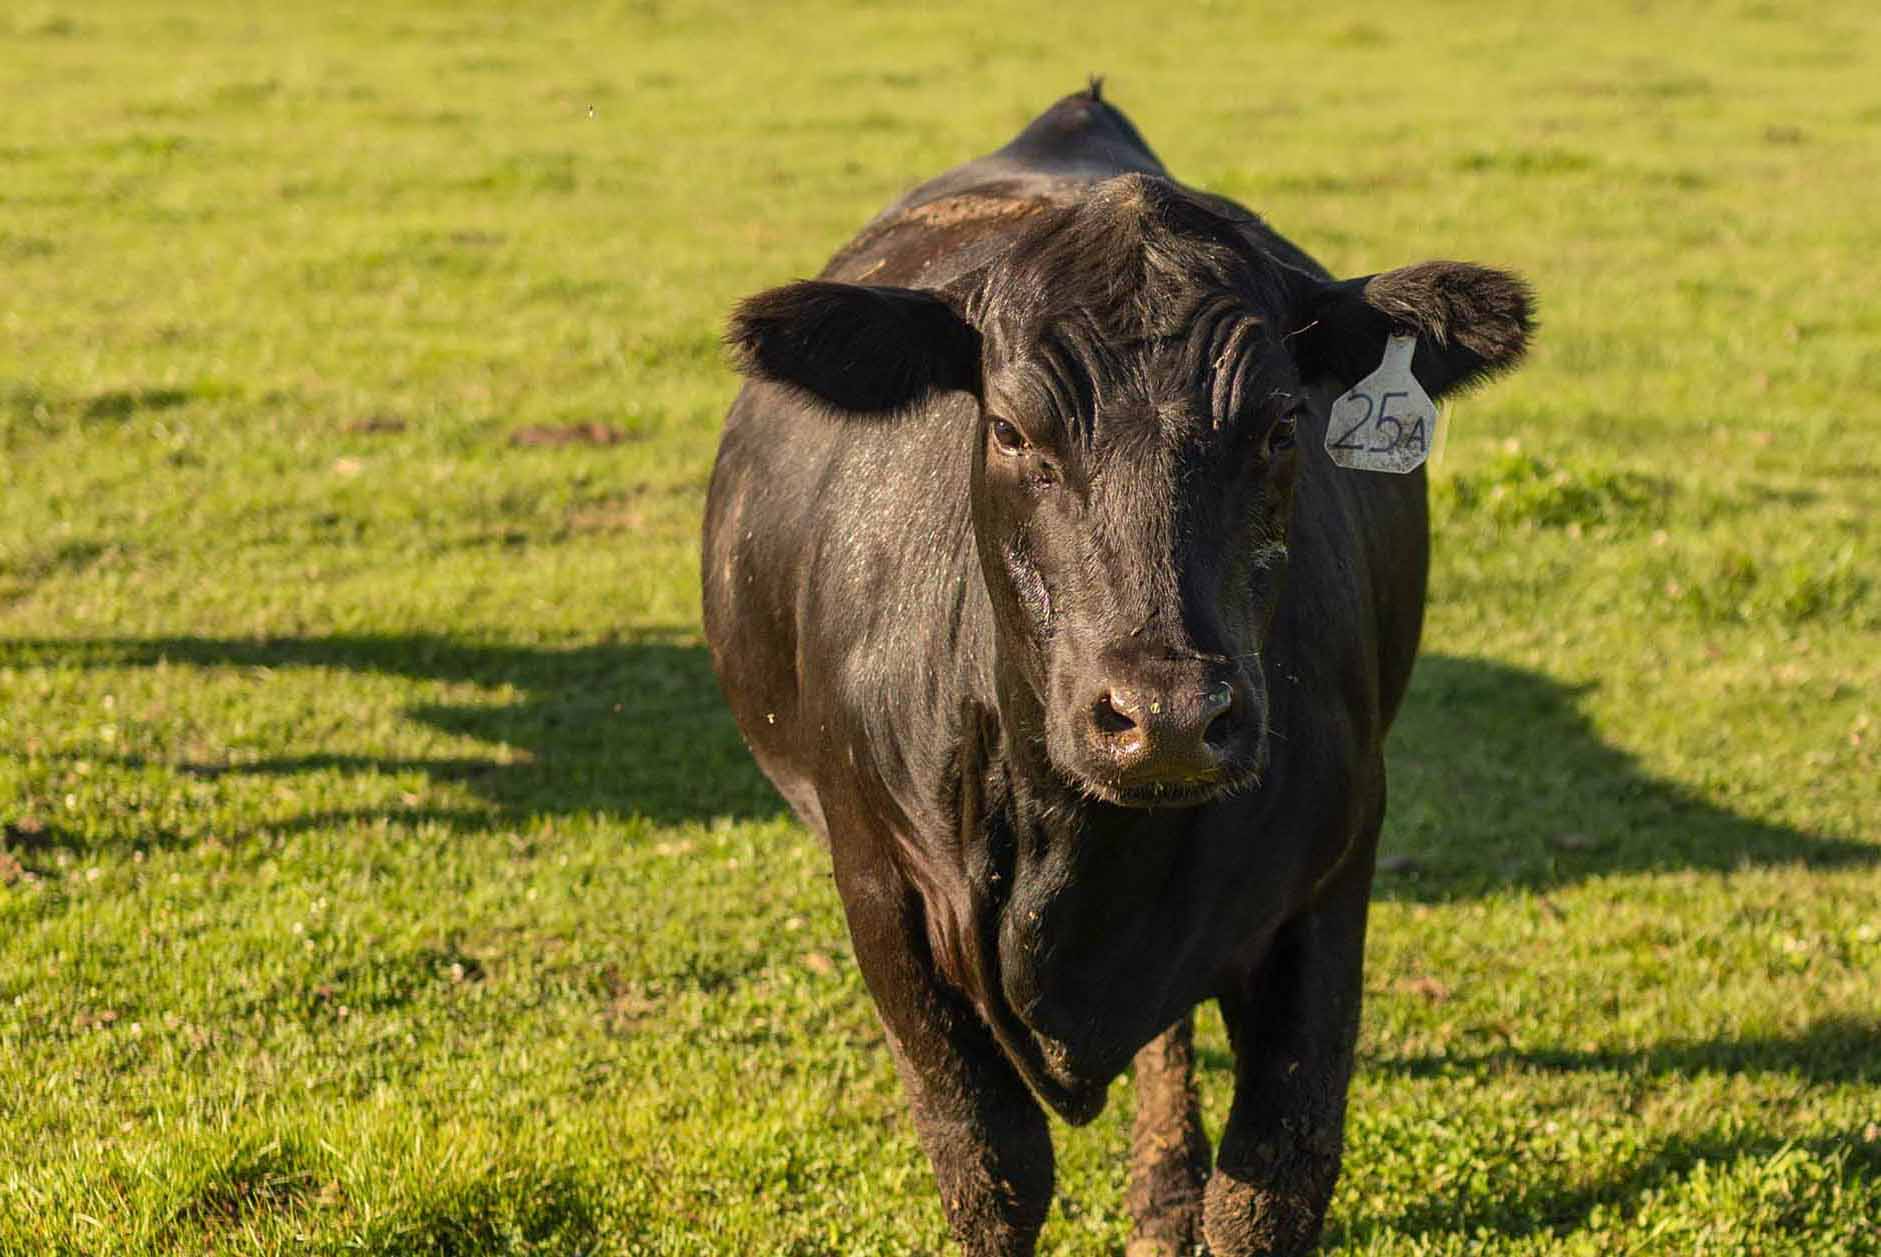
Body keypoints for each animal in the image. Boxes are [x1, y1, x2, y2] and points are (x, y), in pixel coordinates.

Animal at [703, 83, 1527, 1249]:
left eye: (1282, 424)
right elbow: (991, 1168)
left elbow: (1271, 1185)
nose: (1168, 714)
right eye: (1009, 428)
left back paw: (1161, 1186)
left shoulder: (1330, 877)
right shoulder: (879, 887)